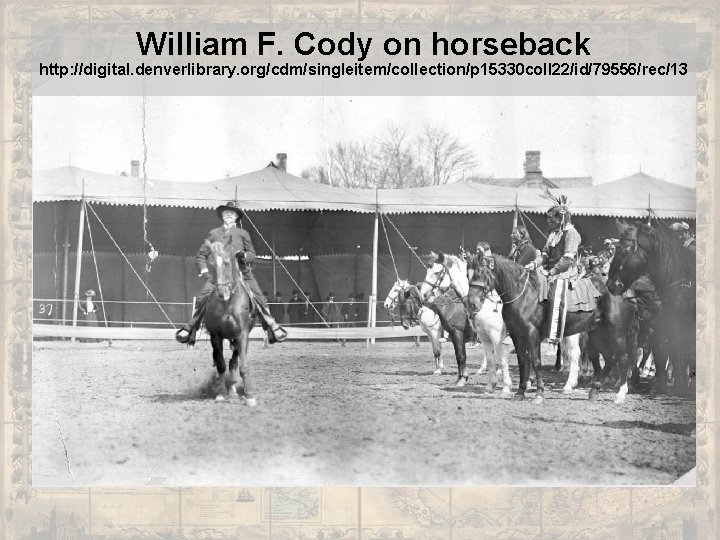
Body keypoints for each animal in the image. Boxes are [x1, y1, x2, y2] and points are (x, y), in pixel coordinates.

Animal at [204, 237, 258, 404]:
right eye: (210, 264)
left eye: (227, 262)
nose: (222, 292)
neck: (227, 303)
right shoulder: (215, 336)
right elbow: (221, 365)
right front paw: (221, 394)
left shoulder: (242, 334)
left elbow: (242, 365)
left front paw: (249, 396)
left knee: (234, 362)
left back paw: (234, 391)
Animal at [416, 255, 512, 394]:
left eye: (437, 272)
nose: (424, 294)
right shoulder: (455, 335)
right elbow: (459, 356)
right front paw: (461, 378)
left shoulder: (458, 333)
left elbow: (461, 356)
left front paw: (462, 379)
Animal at [476, 255, 640, 402]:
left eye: (483, 273)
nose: (474, 302)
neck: (524, 295)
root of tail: (626, 291)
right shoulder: (516, 336)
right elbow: (521, 361)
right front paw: (520, 392)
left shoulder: (527, 335)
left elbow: (533, 361)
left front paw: (538, 393)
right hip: (598, 335)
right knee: (610, 359)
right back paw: (594, 391)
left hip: (616, 335)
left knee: (622, 359)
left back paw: (619, 394)